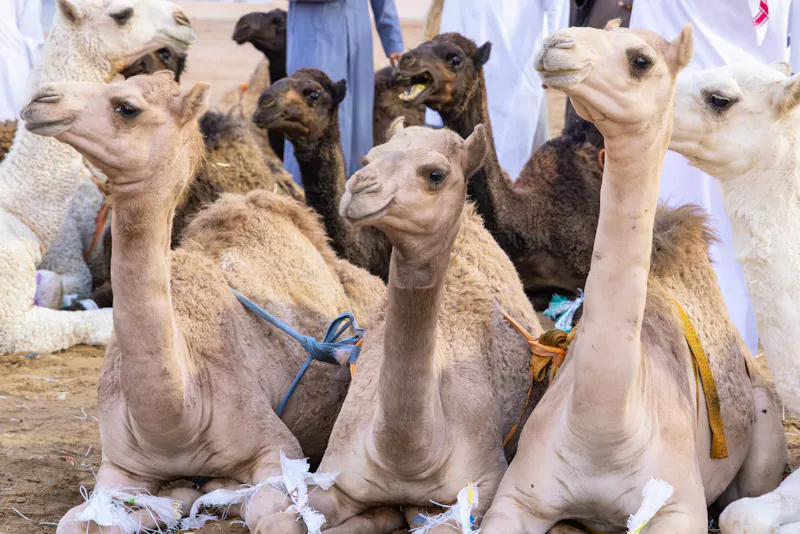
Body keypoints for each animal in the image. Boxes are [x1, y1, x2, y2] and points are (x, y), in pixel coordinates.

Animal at [295, 121, 543, 533]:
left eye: (435, 174)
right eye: (369, 157)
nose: (359, 186)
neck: (406, 456)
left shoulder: (483, 485)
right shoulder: (334, 476)